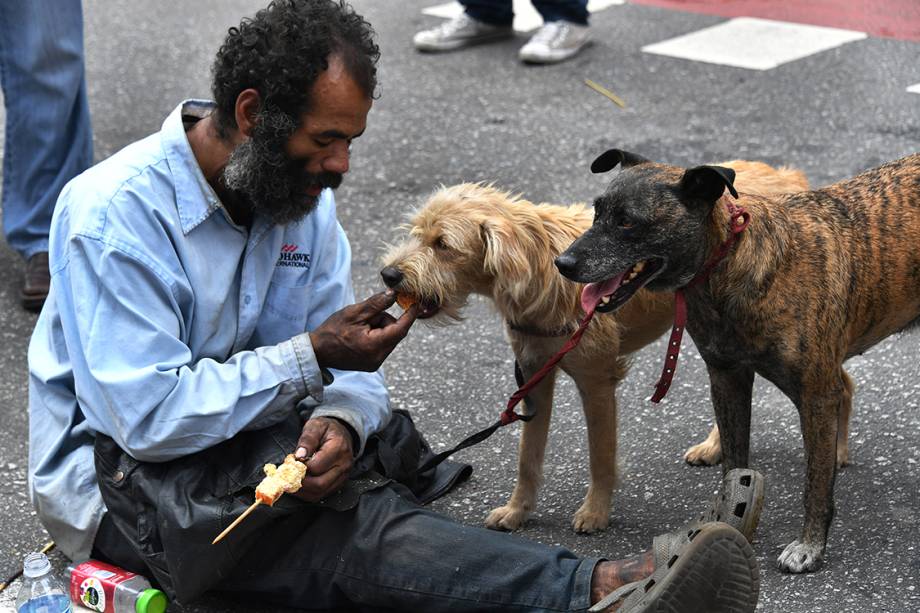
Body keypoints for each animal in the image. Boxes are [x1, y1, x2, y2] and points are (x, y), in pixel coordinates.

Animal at [378, 161, 808, 532]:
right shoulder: (534, 377)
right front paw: (518, 511)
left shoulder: (597, 383)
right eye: (417, 234)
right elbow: (527, 458)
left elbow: (600, 456)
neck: (539, 269)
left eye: (443, 244)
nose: (389, 275)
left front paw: (595, 512)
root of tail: (786, 175)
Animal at [552, 151, 920, 572]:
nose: (562, 263)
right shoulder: (727, 380)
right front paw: (728, 521)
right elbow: (734, 465)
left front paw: (810, 546)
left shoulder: (815, 396)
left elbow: (814, 483)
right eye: (597, 212)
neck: (727, 264)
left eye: (627, 221)